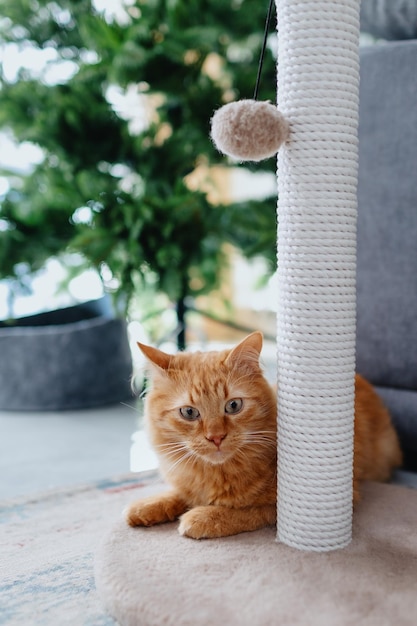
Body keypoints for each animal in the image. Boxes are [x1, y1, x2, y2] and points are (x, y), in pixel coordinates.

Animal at [125, 332, 402, 536]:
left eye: (233, 406)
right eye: (189, 412)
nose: (216, 437)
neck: (216, 474)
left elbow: (245, 511)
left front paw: (202, 516)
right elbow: (179, 494)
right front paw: (146, 506)